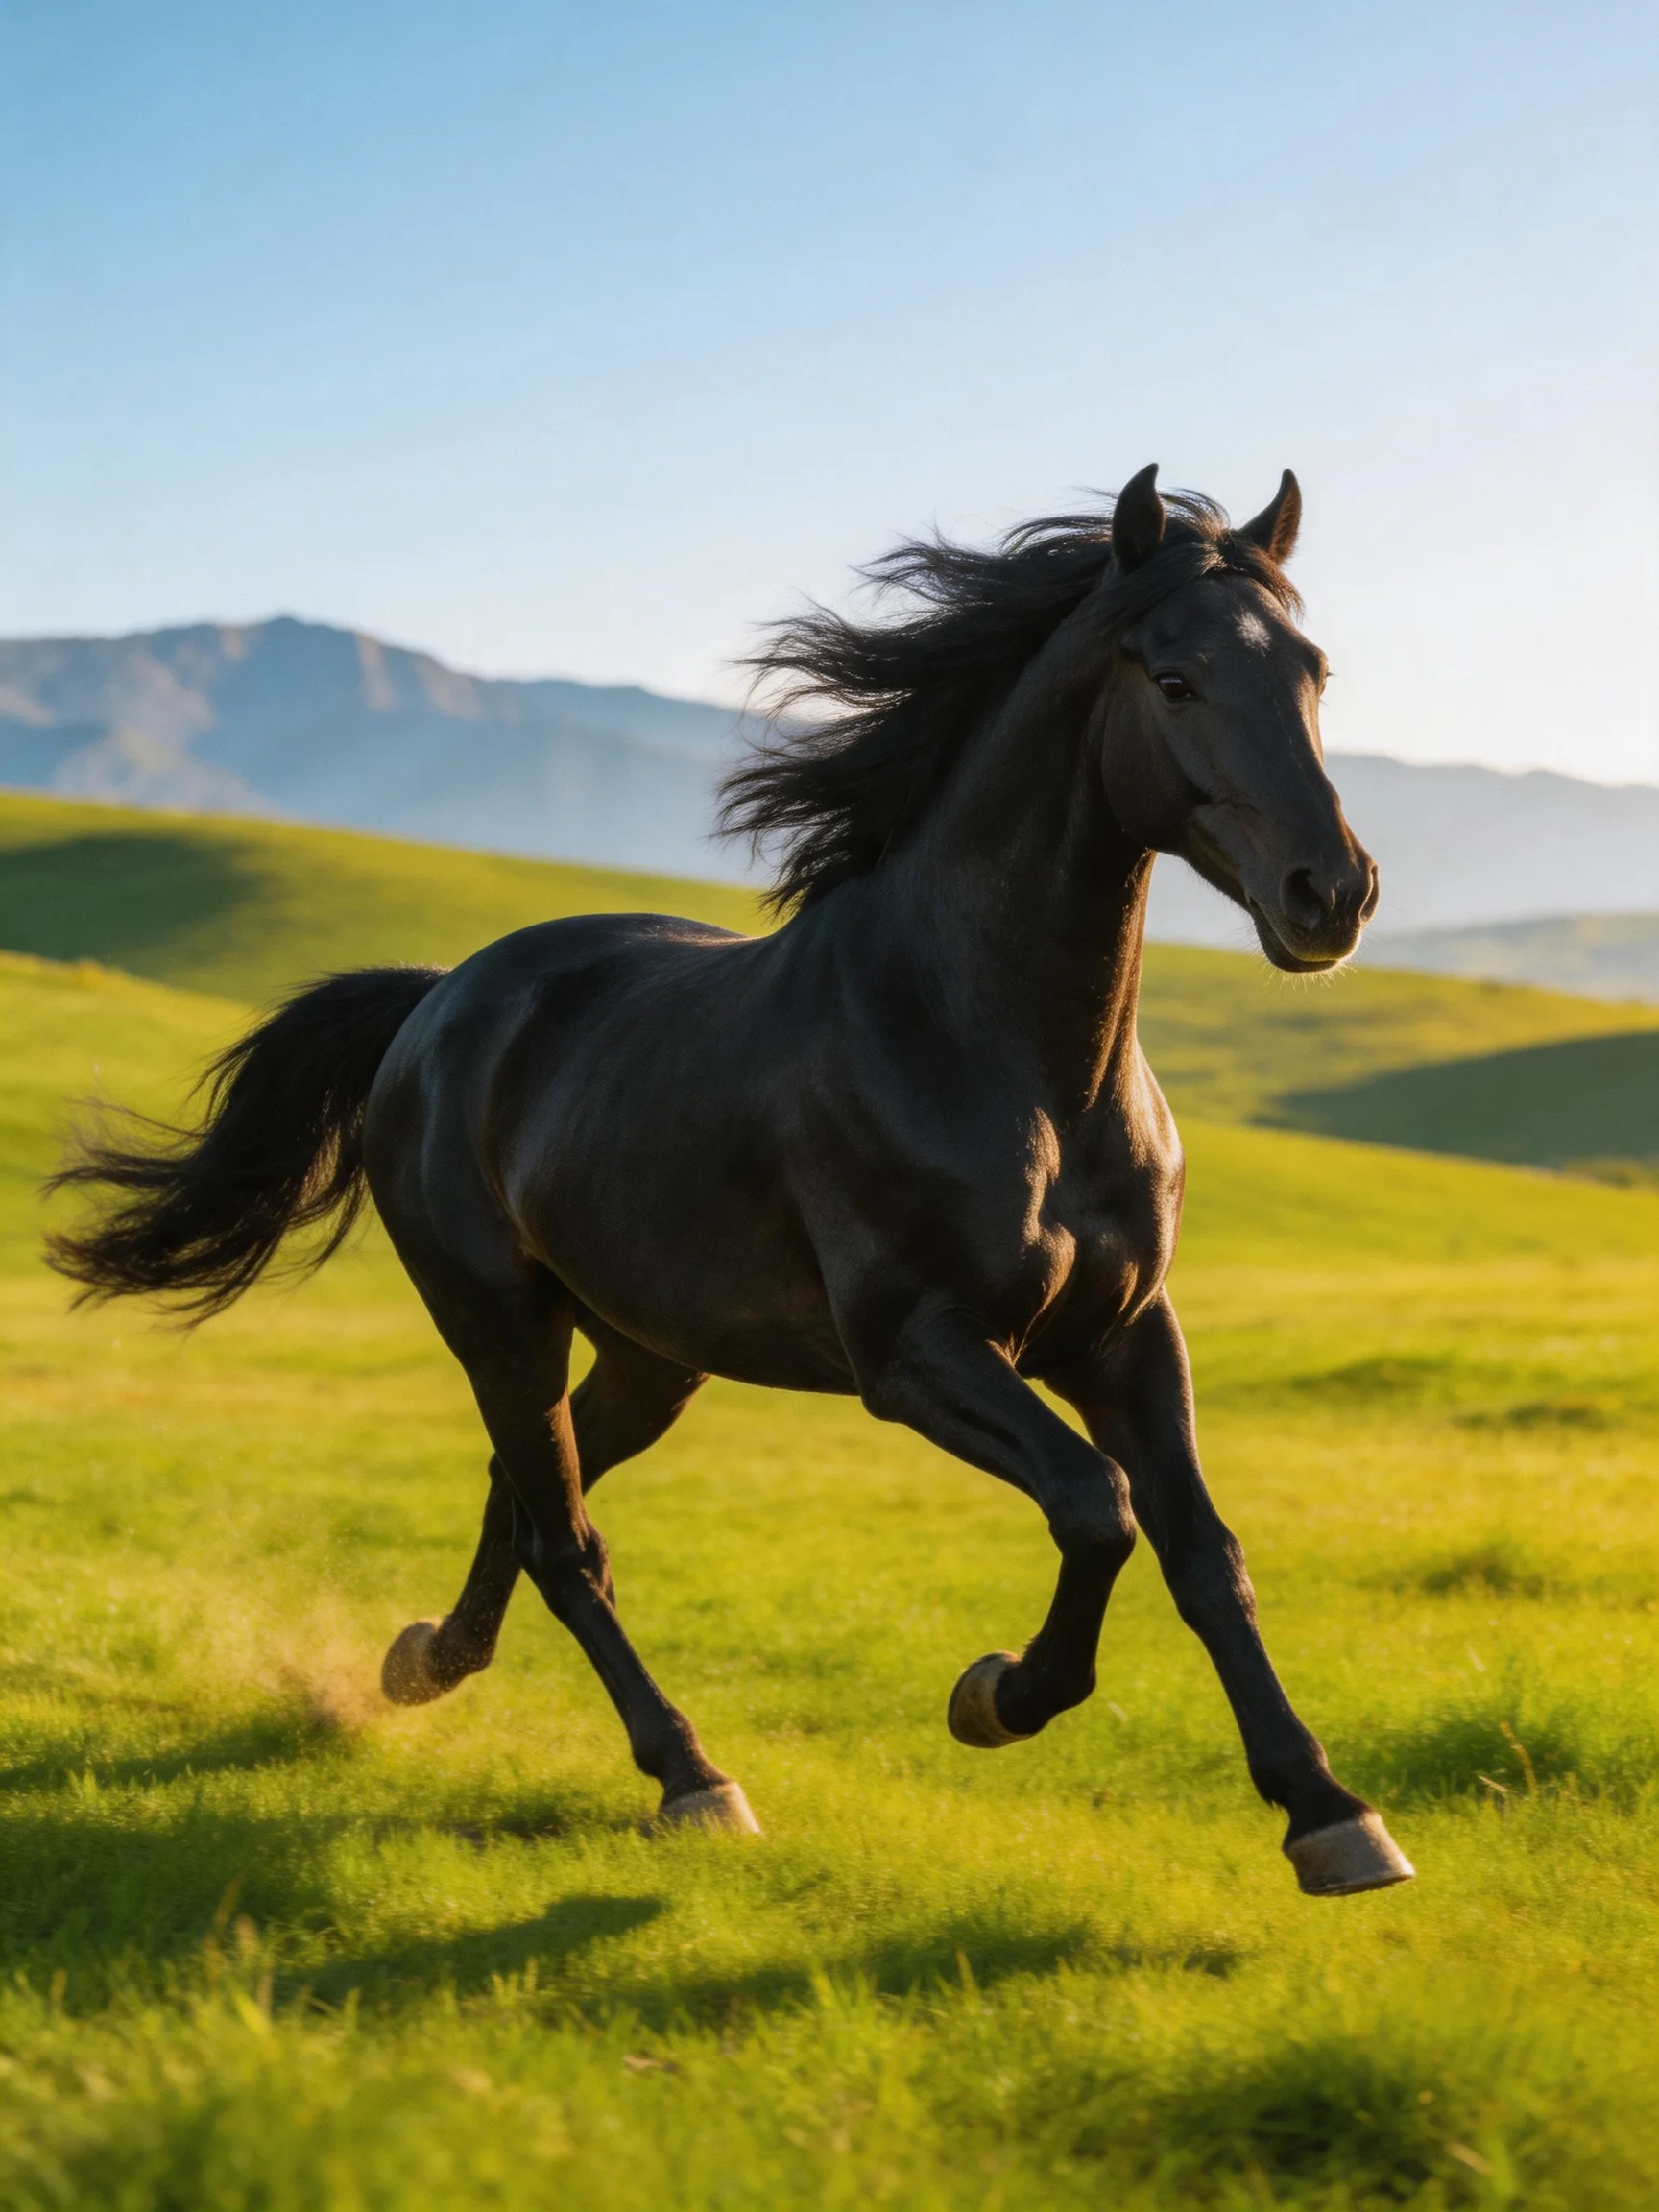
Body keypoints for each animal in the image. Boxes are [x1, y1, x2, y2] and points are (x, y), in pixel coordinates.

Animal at [47, 464, 1413, 1898]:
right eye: (1176, 678)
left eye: (1314, 670)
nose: (1332, 895)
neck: (1005, 1056)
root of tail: (434, 1004)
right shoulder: (916, 1352)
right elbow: (1099, 1508)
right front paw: (994, 1696)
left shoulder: (1127, 1332)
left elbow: (1206, 1553)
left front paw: (1329, 1813)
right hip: (499, 1324)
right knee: (565, 1540)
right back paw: (691, 1778)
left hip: (651, 1354)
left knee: (529, 1496)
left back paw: (428, 1659)